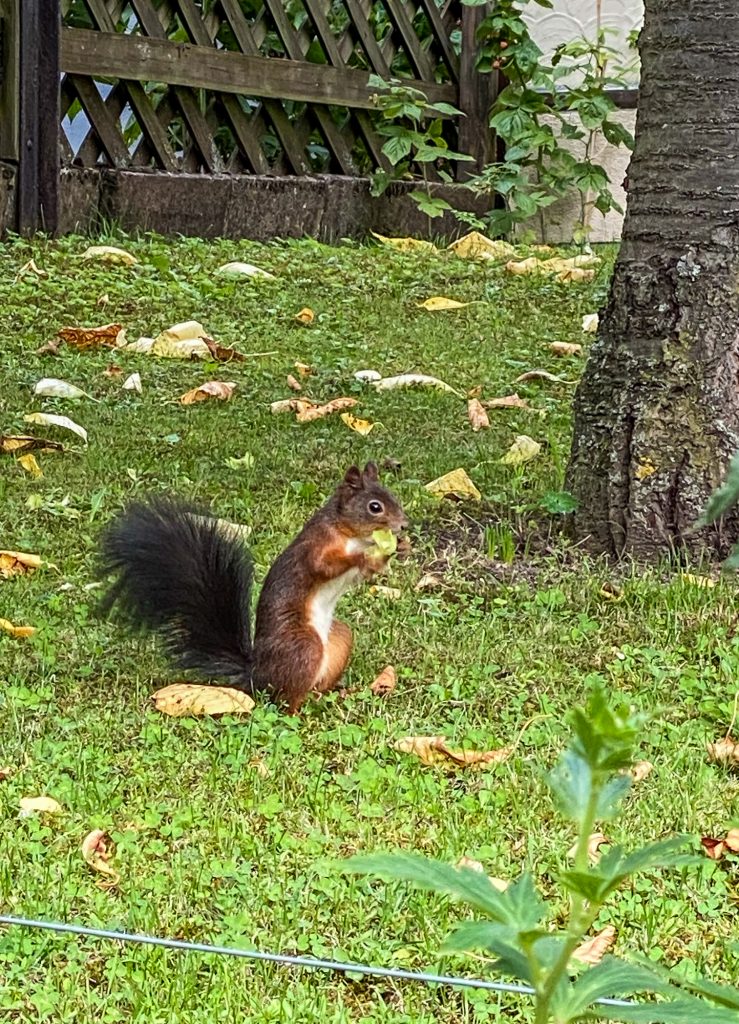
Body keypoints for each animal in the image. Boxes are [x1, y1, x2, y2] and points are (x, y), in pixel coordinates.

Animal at [97, 464, 405, 712]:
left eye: (395, 498)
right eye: (375, 506)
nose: (404, 525)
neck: (349, 533)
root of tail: (257, 675)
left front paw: (395, 550)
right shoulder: (316, 547)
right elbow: (324, 566)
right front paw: (367, 554)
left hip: (339, 637)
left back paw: (336, 695)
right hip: (304, 646)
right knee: (286, 701)